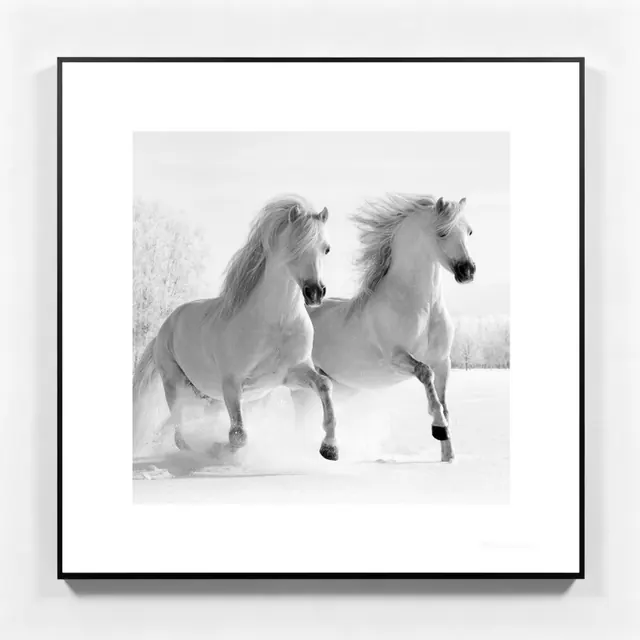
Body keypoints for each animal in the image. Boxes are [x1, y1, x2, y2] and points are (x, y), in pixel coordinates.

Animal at [133, 195, 339, 462]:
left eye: (326, 248)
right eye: (295, 246)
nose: (315, 292)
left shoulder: (291, 374)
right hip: (175, 385)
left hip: (206, 398)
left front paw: (330, 448)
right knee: (179, 434)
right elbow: (238, 435)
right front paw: (219, 448)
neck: (276, 323)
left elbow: (324, 385)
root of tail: (164, 328)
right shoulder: (231, 384)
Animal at [292, 194, 475, 463]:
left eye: (469, 231)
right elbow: (425, 374)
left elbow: (444, 403)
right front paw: (439, 429)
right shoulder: (396, 358)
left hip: (340, 386)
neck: (422, 308)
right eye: (442, 232)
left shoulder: (443, 362)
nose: (468, 271)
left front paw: (448, 457)